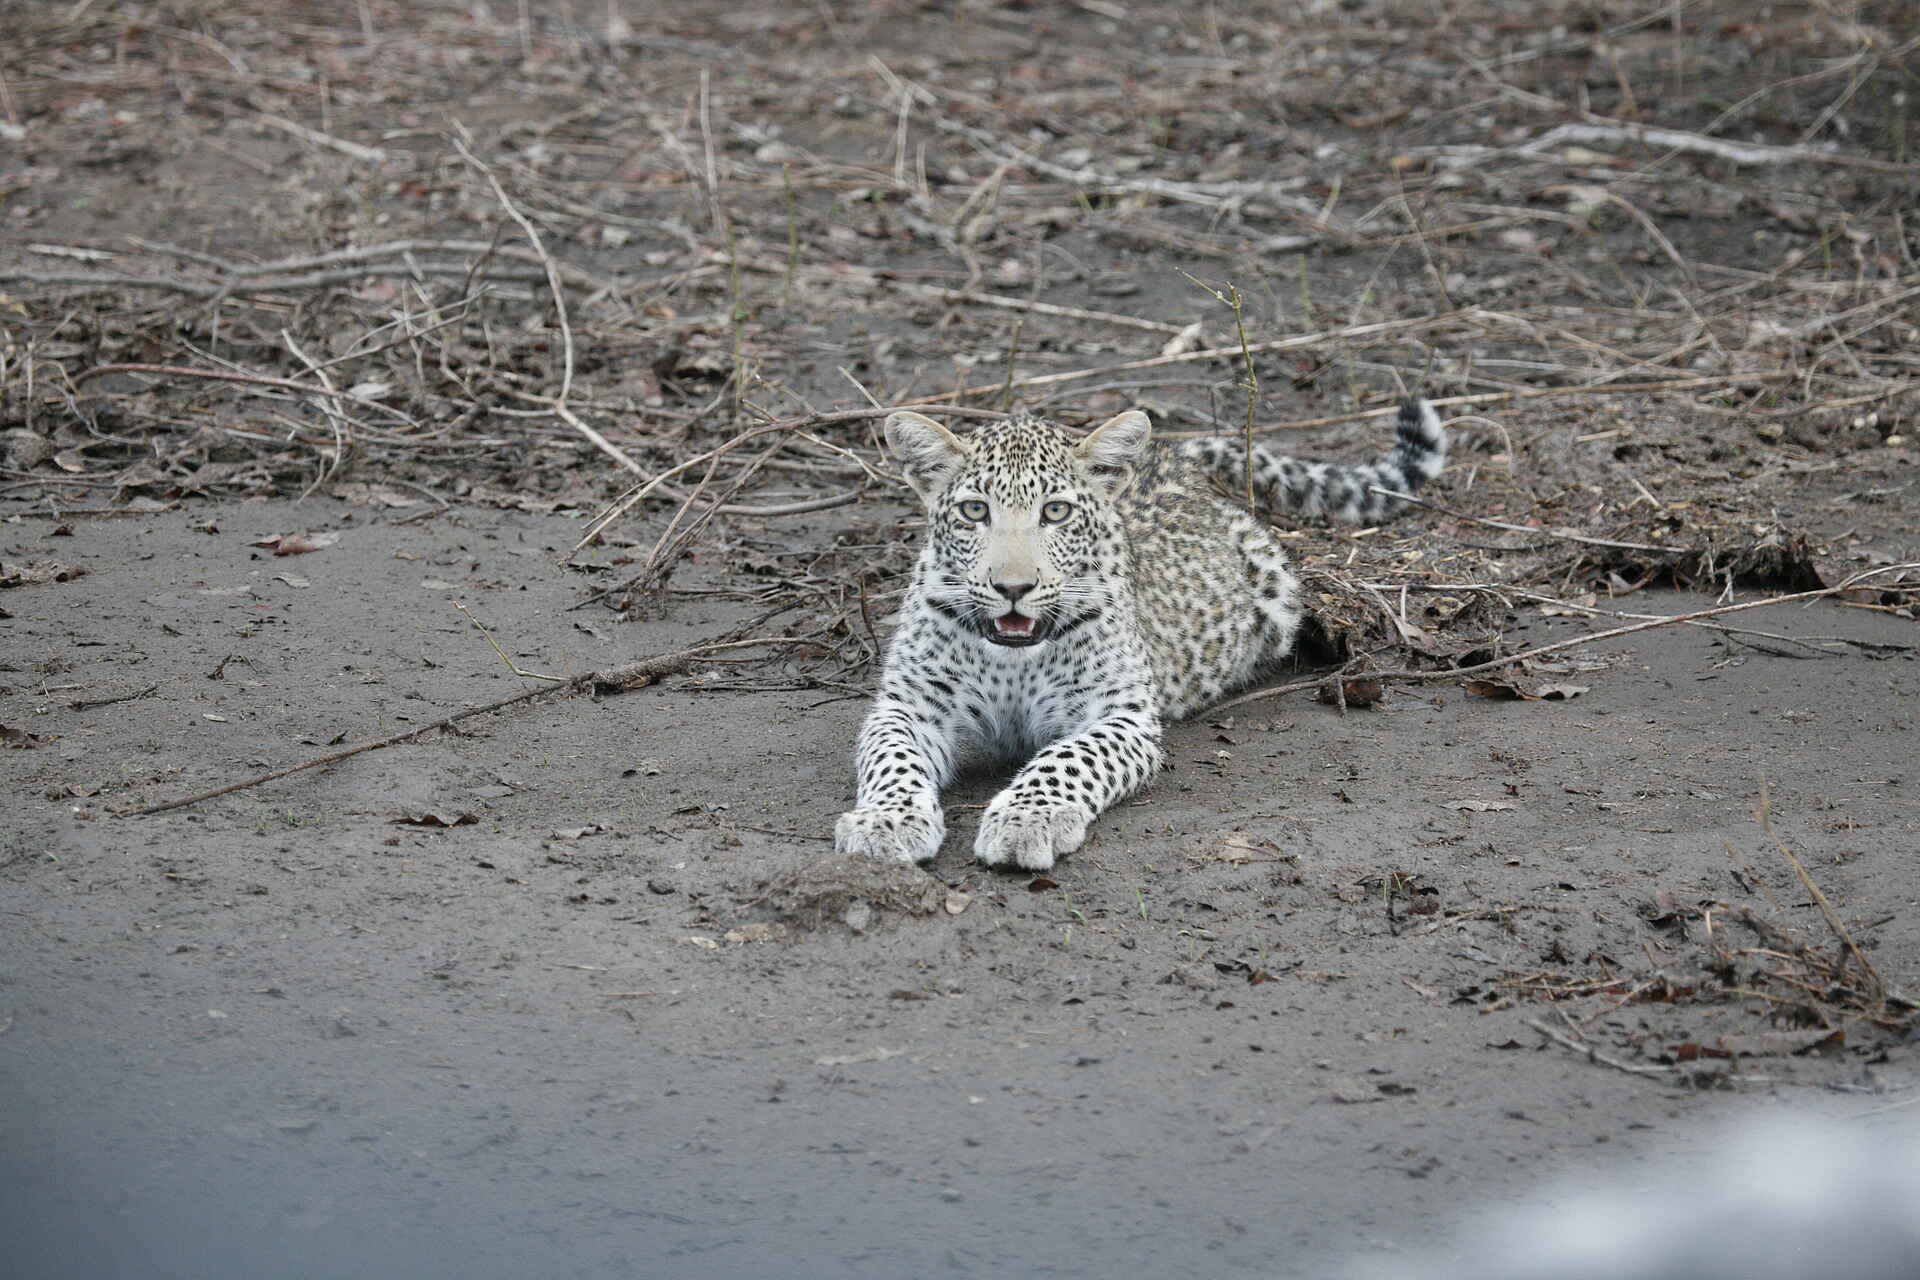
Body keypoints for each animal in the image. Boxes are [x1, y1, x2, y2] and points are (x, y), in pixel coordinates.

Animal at [833, 397, 1447, 871]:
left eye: (1056, 512)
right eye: (973, 511)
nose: (1013, 587)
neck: (1013, 658)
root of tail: (1168, 454)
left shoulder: (1121, 715)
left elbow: (1069, 758)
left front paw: (1027, 818)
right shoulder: (908, 705)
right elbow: (892, 760)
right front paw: (886, 822)